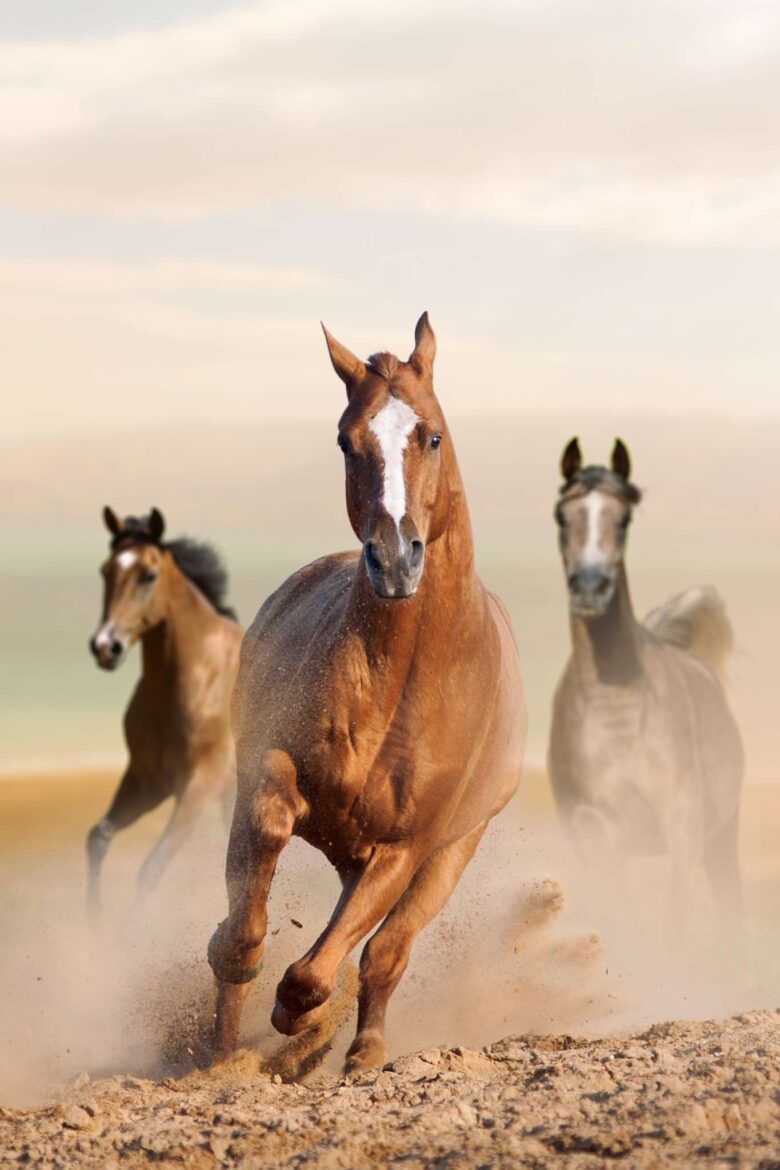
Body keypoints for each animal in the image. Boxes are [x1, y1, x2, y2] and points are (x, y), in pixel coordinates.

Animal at [87, 507, 242, 907]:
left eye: (148, 575)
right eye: (106, 570)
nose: (105, 646)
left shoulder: (199, 782)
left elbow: (151, 869)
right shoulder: (147, 780)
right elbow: (98, 837)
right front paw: (93, 917)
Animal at [206, 311, 528, 1071]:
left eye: (431, 434)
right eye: (346, 441)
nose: (395, 559)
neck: (400, 681)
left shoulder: (407, 847)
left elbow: (327, 969)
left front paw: (301, 1021)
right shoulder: (270, 773)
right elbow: (250, 902)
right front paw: (243, 986)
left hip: (449, 853)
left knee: (385, 953)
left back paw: (361, 1051)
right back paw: (230, 1049)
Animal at [549, 442, 743, 935]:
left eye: (623, 518)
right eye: (562, 516)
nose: (590, 587)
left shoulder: (683, 829)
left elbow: (674, 921)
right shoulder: (595, 836)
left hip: (722, 838)